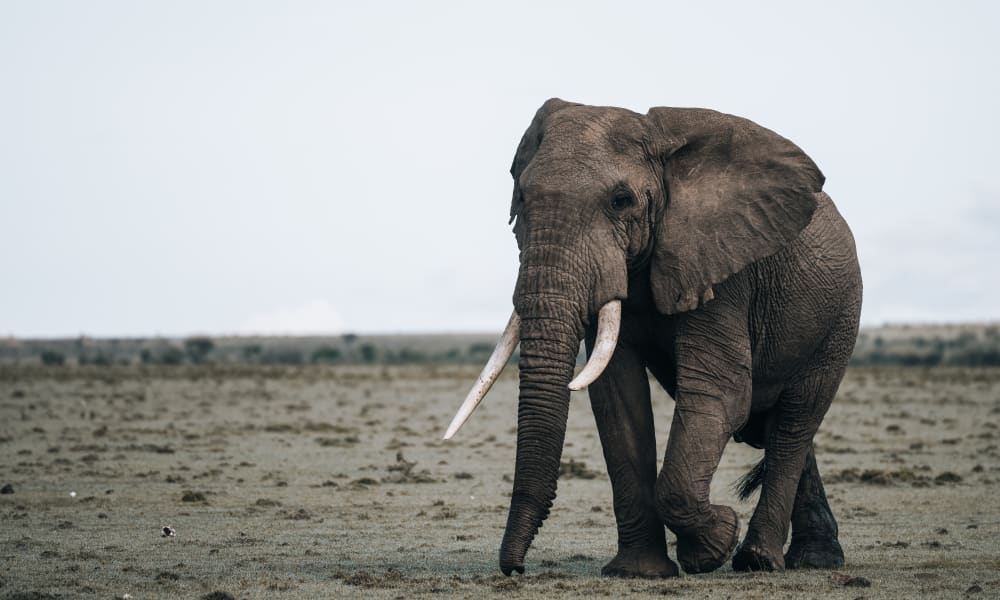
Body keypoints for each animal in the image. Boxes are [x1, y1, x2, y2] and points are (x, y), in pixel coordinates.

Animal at [444, 98, 860, 576]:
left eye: (621, 201)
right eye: (522, 200)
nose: (515, 569)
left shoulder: (720, 266)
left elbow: (721, 393)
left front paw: (713, 544)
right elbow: (618, 399)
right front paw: (637, 571)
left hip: (840, 318)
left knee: (794, 422)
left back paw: (758, 560)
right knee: (778, 430)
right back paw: (813, 559)